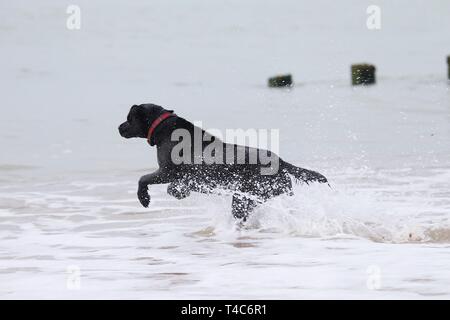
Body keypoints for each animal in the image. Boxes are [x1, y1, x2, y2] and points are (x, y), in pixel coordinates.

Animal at [119, 104, 326, 219]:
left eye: (129, 118)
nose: (119, 127)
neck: (164, 129)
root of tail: (281, 162)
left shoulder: (167, 172)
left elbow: (144, 179)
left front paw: (145, 198)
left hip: (244, 198)